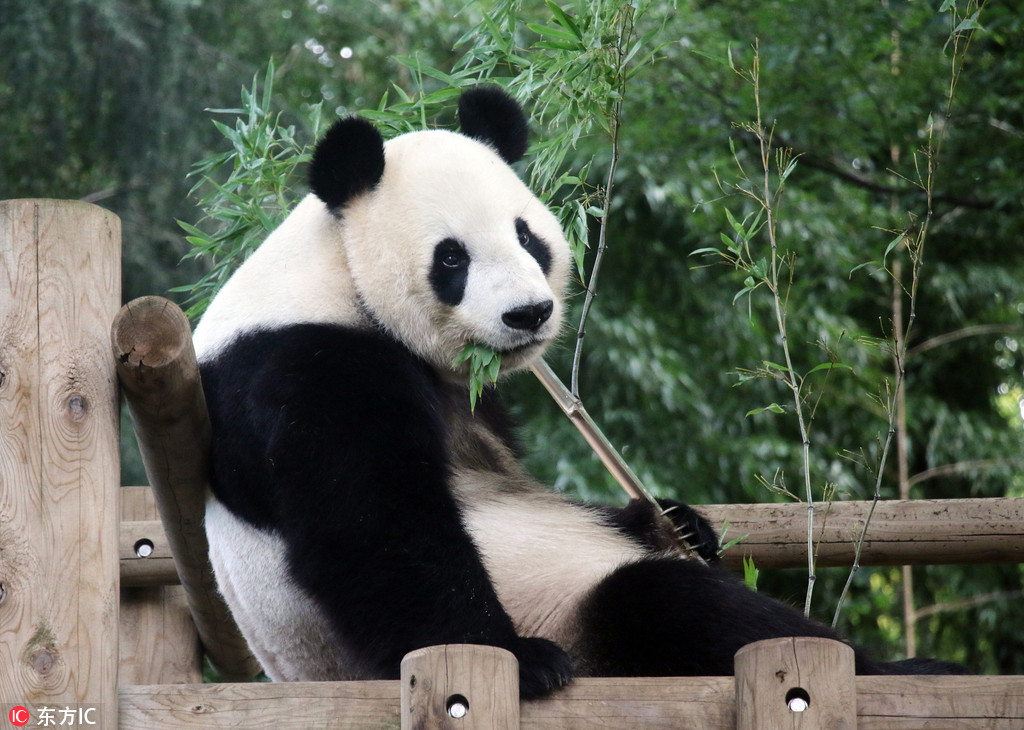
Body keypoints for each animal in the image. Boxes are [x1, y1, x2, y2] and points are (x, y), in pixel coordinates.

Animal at [193, 83, 966, 696]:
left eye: (527, 236)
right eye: (452, 258)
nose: (528, 315)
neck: (337, 275)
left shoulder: (470, 393)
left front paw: (680, 519)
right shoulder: (307, 367)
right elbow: (378, 528)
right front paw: (519, 661)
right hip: (573, 614)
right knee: (665, 604)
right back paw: (902, 670)